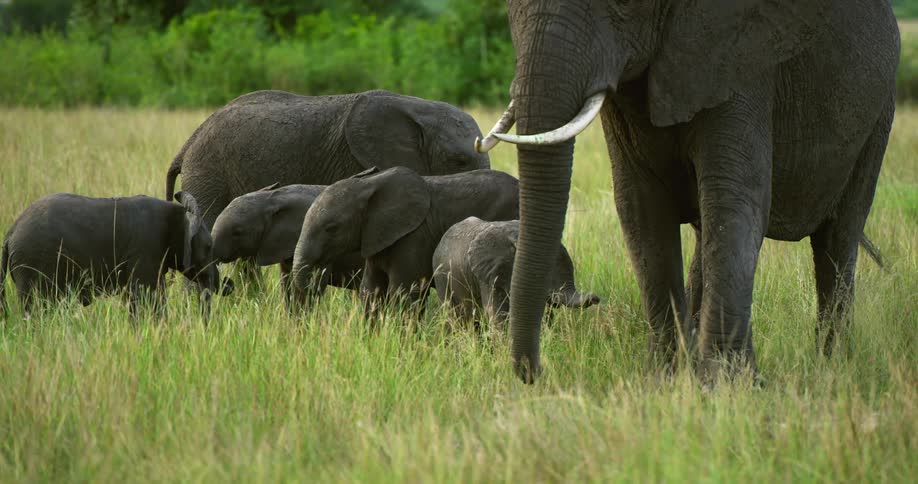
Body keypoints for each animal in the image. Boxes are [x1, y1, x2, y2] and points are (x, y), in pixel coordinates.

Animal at [0, 192, 230, 319]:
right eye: (209, 247)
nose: (228, 285)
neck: (178, 213)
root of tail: (10, 234)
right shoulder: (145, 250)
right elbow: (148, 298)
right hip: (32, 263)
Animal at [292, 167, 520, 316]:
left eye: (332, 229)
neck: (369, 184)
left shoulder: (415, 237)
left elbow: (404, 293)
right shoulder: (376, 236)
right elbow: (371, 290)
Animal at [473, 1, 899, 383]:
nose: (534, 373)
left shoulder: (741, 59)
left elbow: (736, 203)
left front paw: (728, 387)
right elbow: (639, 208)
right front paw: (666, 381)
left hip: (878, 116)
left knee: (838, 236)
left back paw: (832, 366)